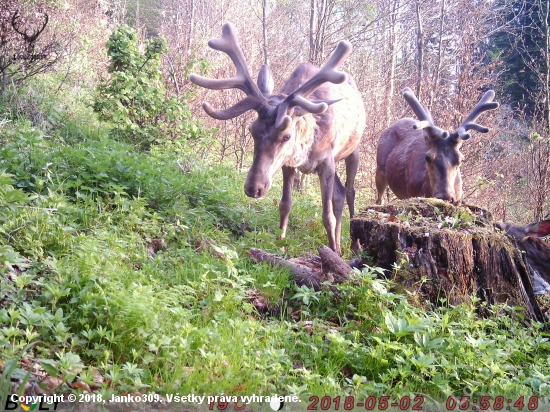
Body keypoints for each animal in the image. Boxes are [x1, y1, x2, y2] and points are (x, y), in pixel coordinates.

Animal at [190, 23, 366, 254]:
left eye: (286, 135)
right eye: (252, 130)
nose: (253, 188)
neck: (306, 149)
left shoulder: (326, 160)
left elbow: (326, 215)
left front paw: (332, 252)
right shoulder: (288, 164)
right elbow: (285, 204)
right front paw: (280, 244)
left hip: (353, 150)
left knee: (350, 191)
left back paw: (353, 246)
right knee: (340, 193)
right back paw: (338, 245)